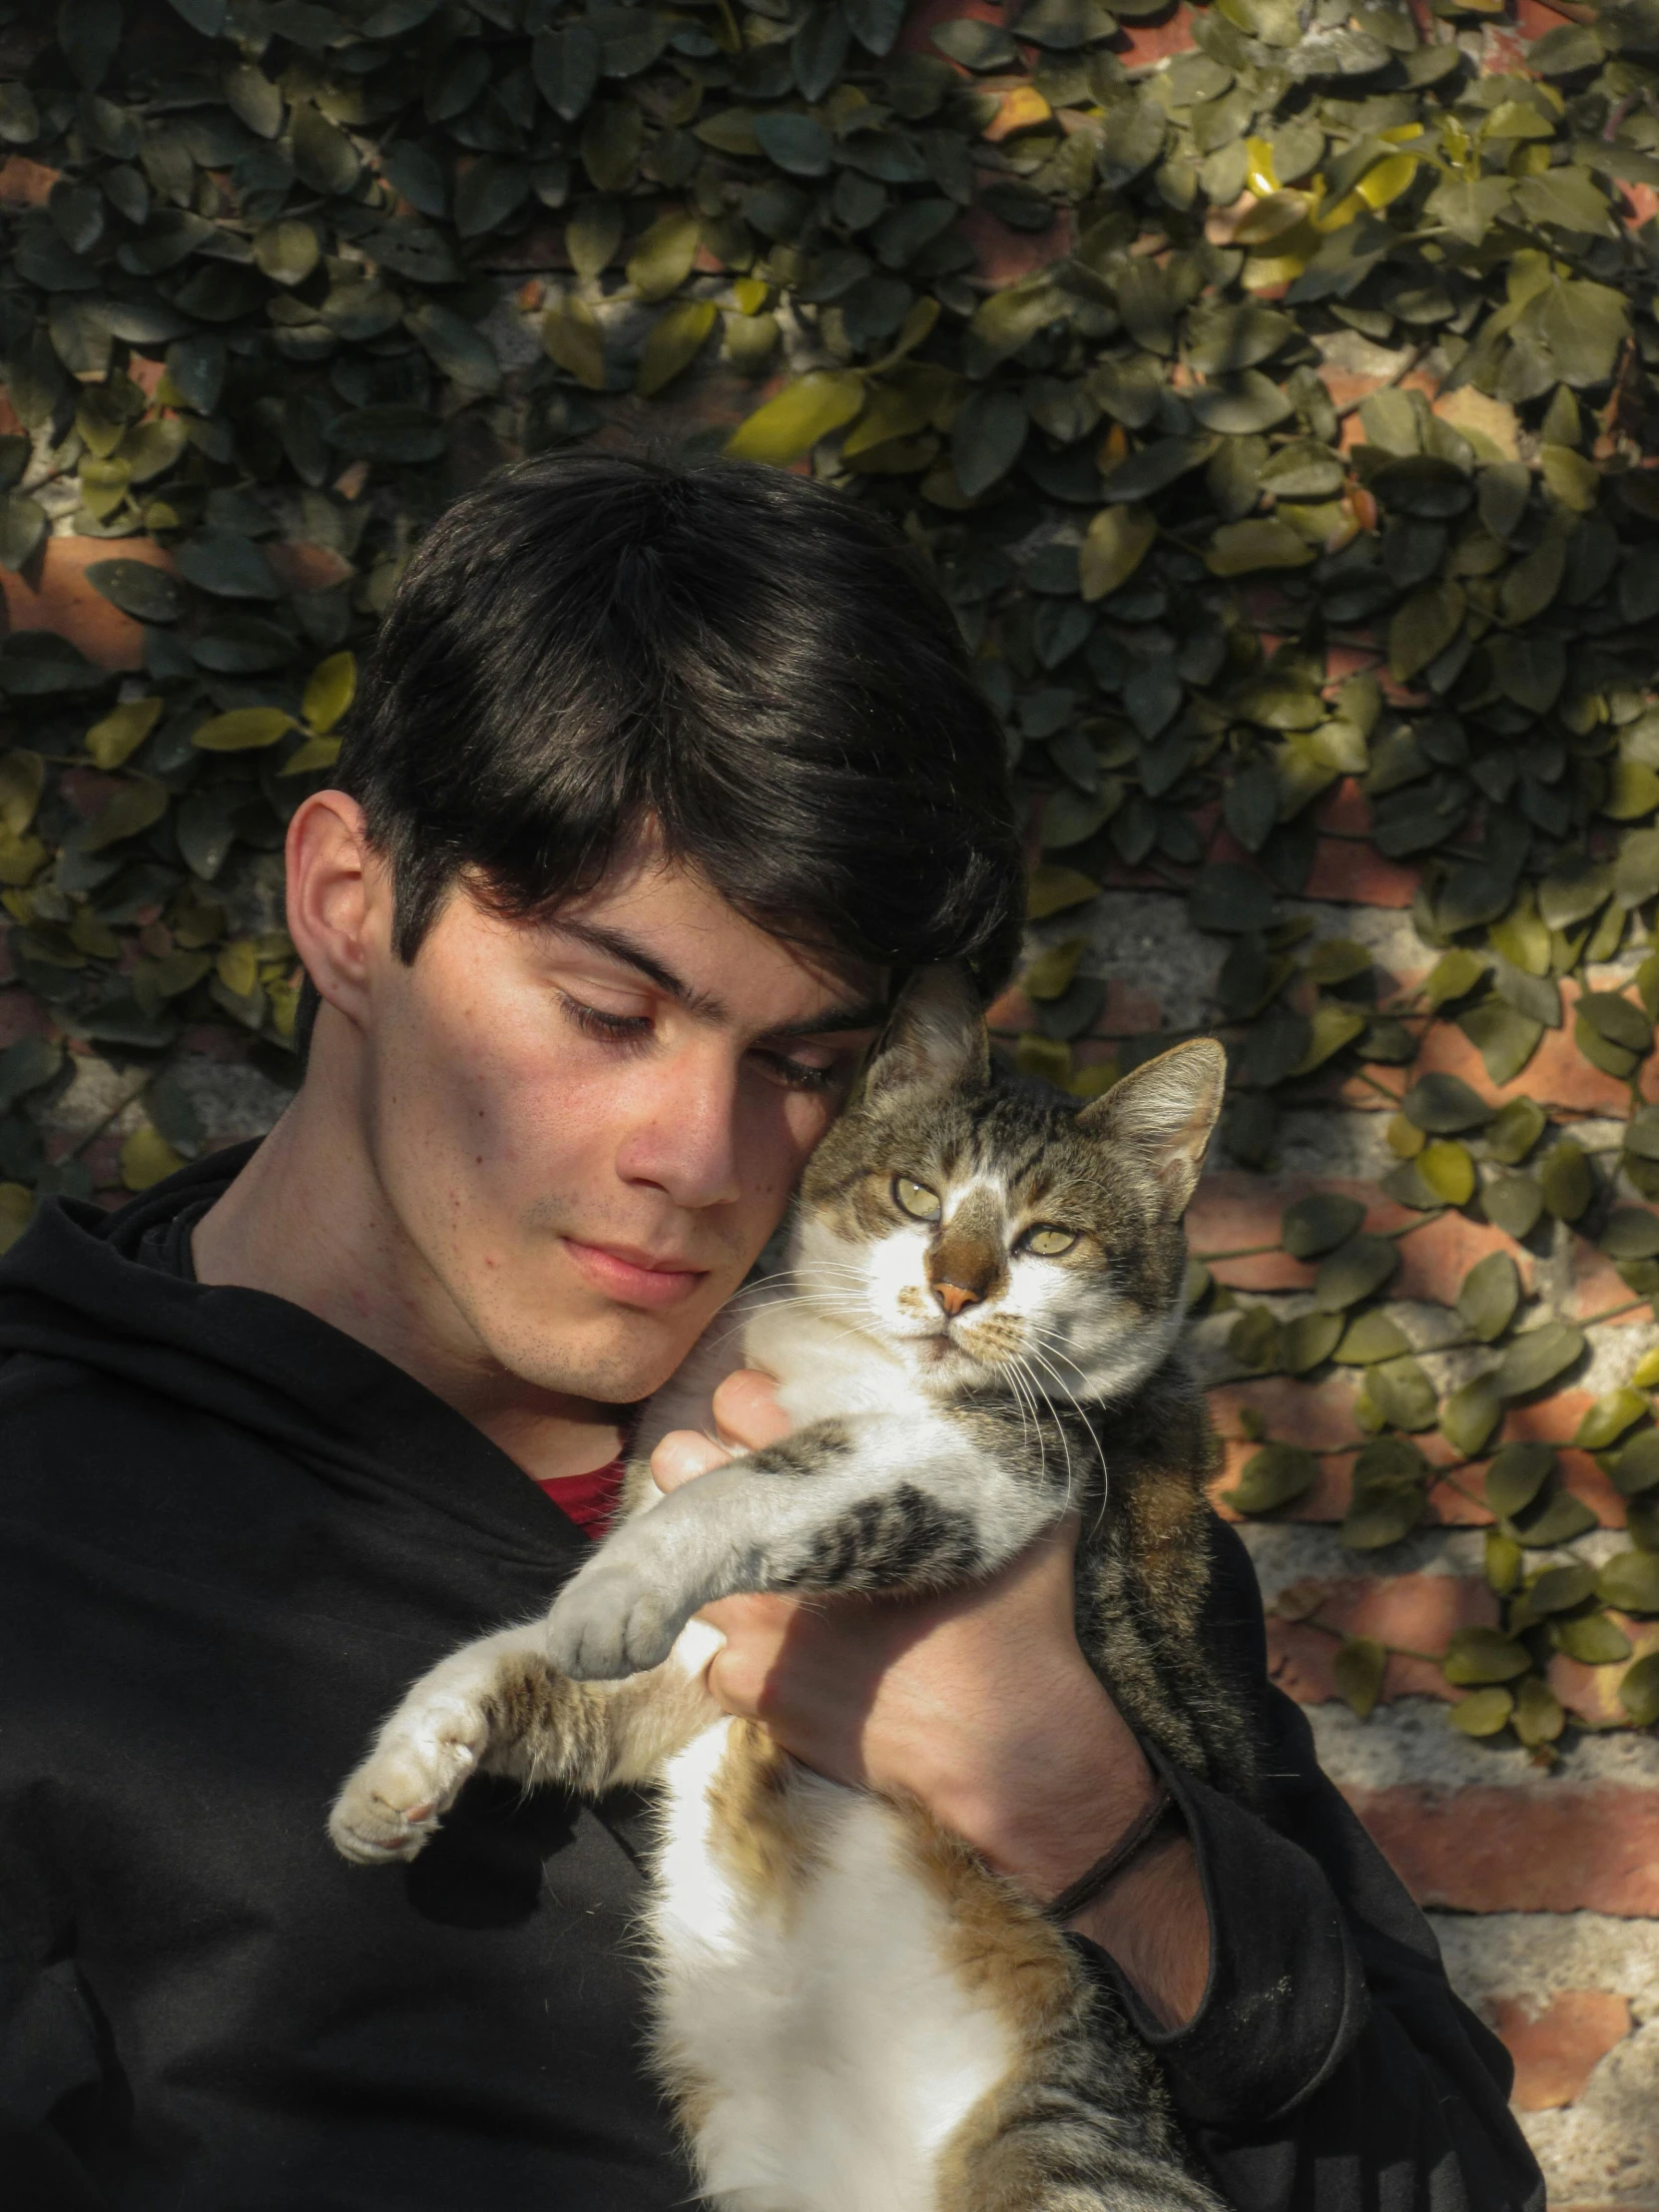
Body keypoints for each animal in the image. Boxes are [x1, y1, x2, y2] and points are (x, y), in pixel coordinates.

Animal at [331, 973, 1256, 2212]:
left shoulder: (991, 1468)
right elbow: (513, 1664)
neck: (846, 1357)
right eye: (916, 1194)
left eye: (1049, 1235)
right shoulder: (687, 1678)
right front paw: (398, 1773)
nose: (954, 1287)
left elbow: (767, 1478)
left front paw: (614, 1583)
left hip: (1065, 2153)